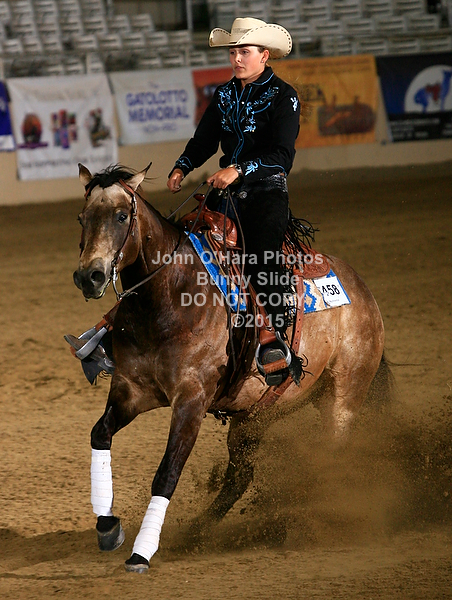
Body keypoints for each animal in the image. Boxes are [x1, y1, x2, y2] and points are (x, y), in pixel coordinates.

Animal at [71, 162, 388, 573]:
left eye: (122, 215)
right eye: (83, 217)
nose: (88, 276)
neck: (169, 296)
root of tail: (364, 295)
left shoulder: (191, 401)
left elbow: (167, 473)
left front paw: (141, 552)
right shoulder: (131, 390)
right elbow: (100, 434)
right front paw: (109, 528)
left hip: (343, 398)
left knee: (330, 458)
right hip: (256, 415)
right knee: (239, 477)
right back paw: (197, 532)